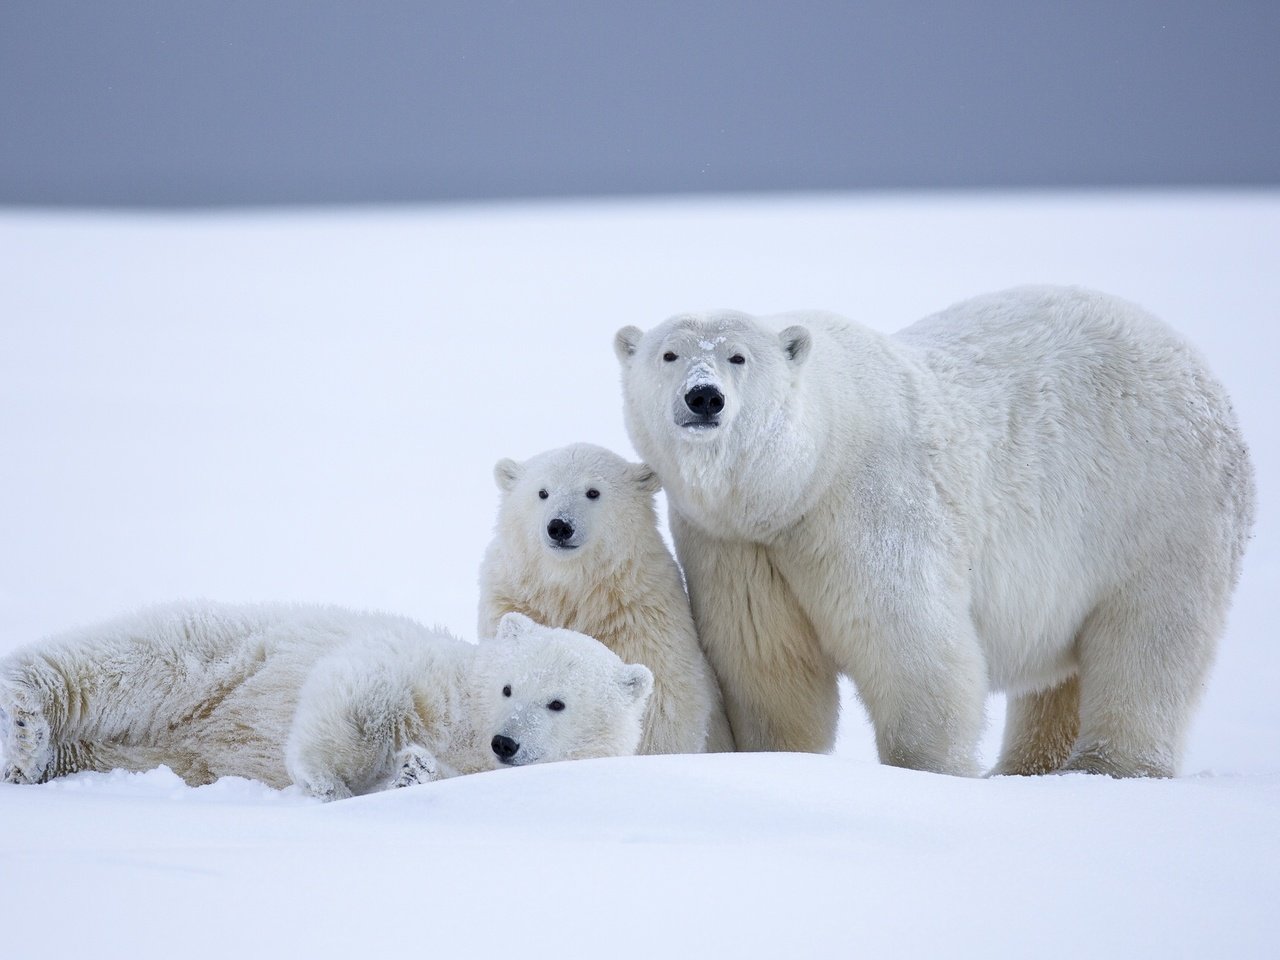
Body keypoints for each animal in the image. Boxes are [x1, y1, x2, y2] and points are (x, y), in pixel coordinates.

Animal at [614, 288, 1254, 783]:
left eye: (738, 356)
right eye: (669, 353)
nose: (704, 397)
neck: (800, 478)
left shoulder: (868, 503)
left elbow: (911, 643)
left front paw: (931, 772)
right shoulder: (736, 544)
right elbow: (768, 664)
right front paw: (778, 756)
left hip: (1160, 507)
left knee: (1150, 641)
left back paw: (1111, 766)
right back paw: (1028, 767)